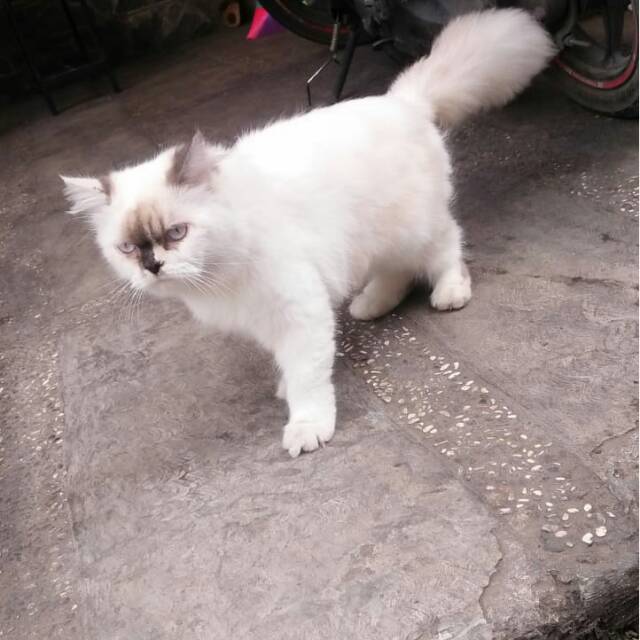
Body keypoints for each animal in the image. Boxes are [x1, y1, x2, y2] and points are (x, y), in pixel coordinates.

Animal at [62, 9, 555, 457]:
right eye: (128, 248)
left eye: (176, 233)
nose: (152, 266)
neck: (221, 270)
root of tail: (401, 100)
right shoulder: (265, 319)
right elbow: (289, 365)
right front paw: (285, 388)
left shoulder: (298, 309)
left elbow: (307, 376)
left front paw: (307, 426)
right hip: (374, 240)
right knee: (395, 273)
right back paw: (372, 305)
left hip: (413, 229)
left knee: (447, 246)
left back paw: (450, 291)